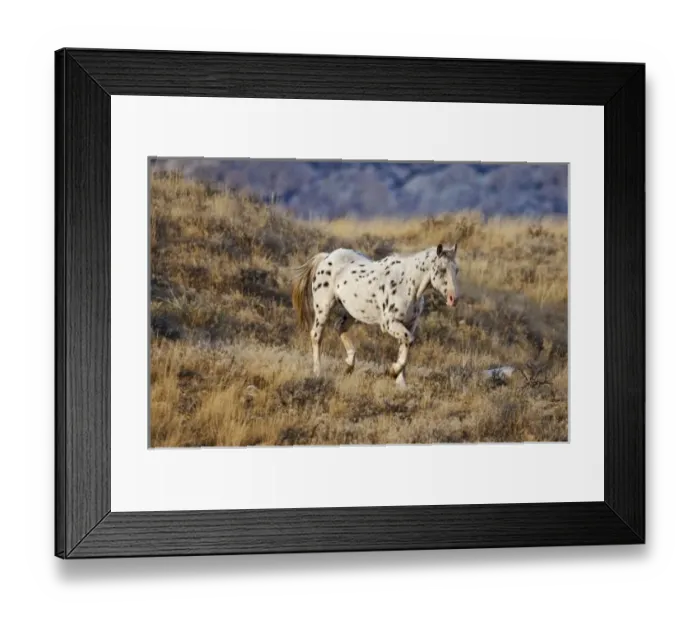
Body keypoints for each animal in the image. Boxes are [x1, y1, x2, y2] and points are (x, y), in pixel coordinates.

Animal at [291, 243, 460, 387]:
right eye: (441, 269)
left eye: (456, 270)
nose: (454, 299)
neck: (407, 283)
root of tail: (327, 257)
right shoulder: (390, 323)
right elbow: (409, 341)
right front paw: (392, 371)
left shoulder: (409, 324)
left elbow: (405, 346)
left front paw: (401, 383)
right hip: (323, 308)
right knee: (316, 335)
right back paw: (318, 372)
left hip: (351, 312)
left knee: (340, 327)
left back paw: (349, 365)